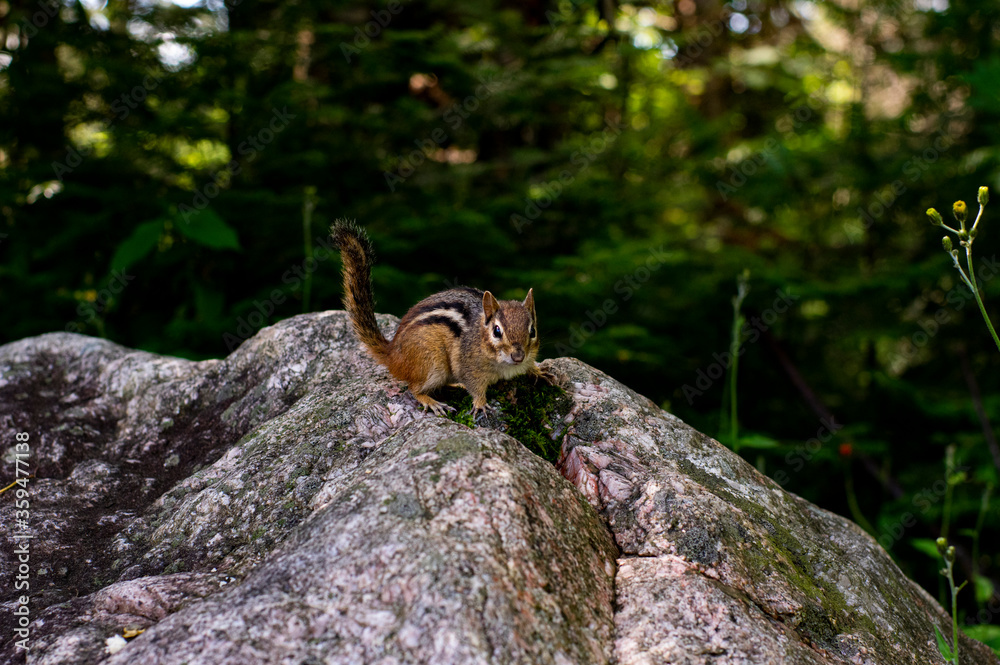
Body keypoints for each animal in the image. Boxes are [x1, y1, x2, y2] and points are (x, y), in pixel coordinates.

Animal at [332, 220, 556, 420]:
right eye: (497, 331)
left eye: (532, 331)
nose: (518, 356)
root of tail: (392, 353)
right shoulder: (469, 367)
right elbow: (475, 387)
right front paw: (480, 404)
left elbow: (531, 366)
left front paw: (539, 371)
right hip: (432, 363)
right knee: (413, 388)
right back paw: (432, 402)